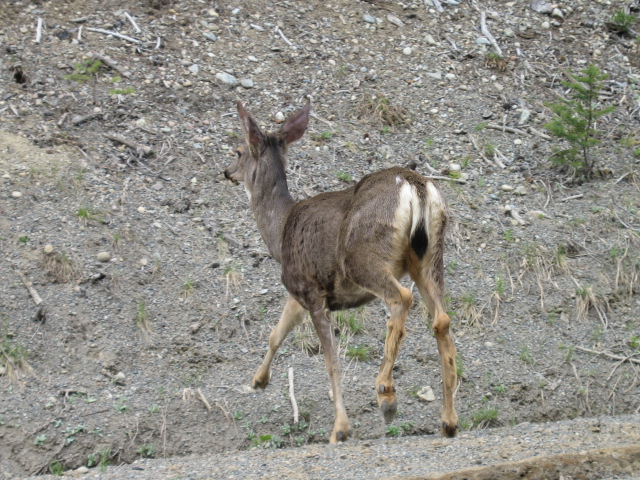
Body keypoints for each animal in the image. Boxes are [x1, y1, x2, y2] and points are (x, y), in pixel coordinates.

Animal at [222, 99, 458, 444]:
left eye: (238, 151)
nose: (226, 171)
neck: (279, 233)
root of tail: (416, 187)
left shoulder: (311, 291)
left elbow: (331, 361)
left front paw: (341, 430)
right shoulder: (298, 292)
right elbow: (275, 333)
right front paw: (258, 380)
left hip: (361, 257)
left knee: (402, 298)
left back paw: (386, 392)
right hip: (429, 257)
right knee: (441, 319)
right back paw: (449, 422)